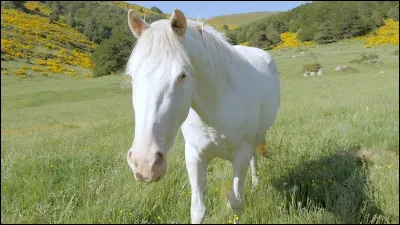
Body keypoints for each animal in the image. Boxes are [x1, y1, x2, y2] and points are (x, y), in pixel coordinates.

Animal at [126, 8, 282, 223]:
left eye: (182, 75)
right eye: (131, 76)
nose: (145, 164)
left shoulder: (240, 155)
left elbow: (236, 203)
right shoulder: (194, 156)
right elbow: (198, 209)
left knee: (254, 158)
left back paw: (255, 185)